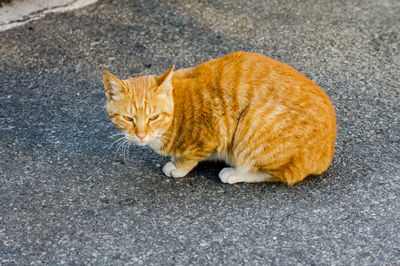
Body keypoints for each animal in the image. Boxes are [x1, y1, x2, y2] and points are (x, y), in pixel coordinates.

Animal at [104, 51, 338, 186]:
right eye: (128, 118)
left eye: (153, 117)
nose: (141, 136)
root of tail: (326, 155)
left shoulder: (212, 133)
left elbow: (191, 157)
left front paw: (178, 167)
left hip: (252, 122)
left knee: (280, 174)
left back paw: (234, 173)